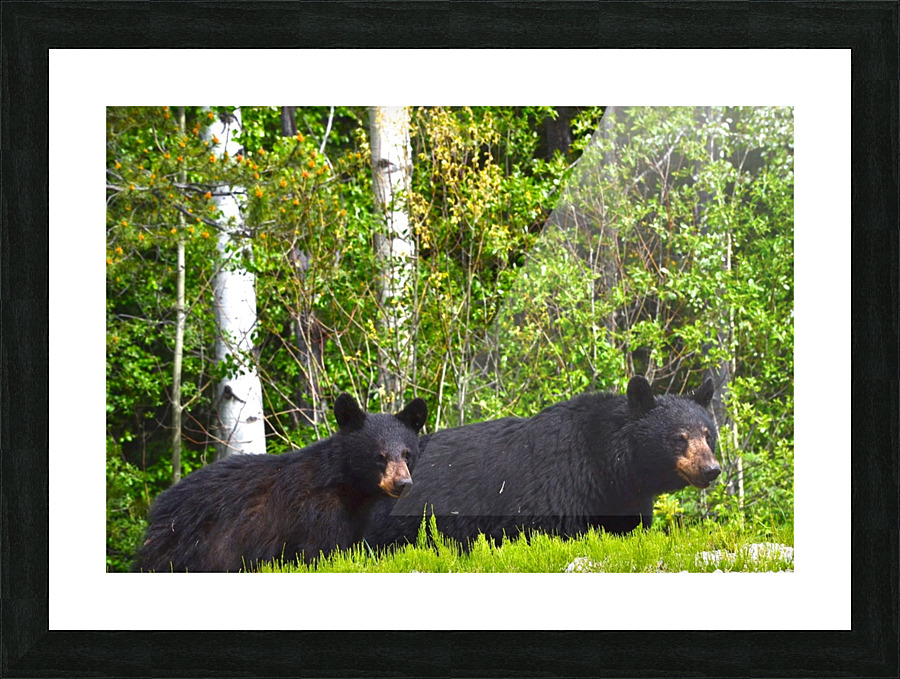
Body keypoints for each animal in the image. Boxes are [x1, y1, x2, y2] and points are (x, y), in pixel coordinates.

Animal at [133, 393, 427, 572]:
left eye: (407, 454)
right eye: (379, 456)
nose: (402, 482)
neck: (347, 486)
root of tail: (160, 506)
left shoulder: (352, 521)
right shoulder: (314, 516)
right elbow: (318, 553)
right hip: (192, 545)